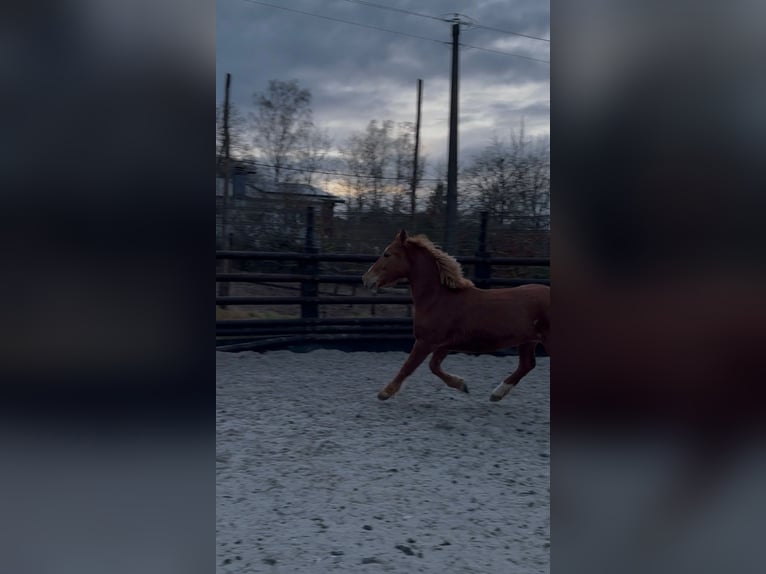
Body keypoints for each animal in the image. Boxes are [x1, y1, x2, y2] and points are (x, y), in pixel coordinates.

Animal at [362, 230, 550, 402]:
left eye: (387, 254)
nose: (366, 279)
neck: (438, 298)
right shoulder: (444, 344)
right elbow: (434, 366)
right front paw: (462, 385)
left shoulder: (425, 342)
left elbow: (408, 366)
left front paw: (385, 392)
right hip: (528, 341)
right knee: (527, 365)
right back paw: (496, 394)